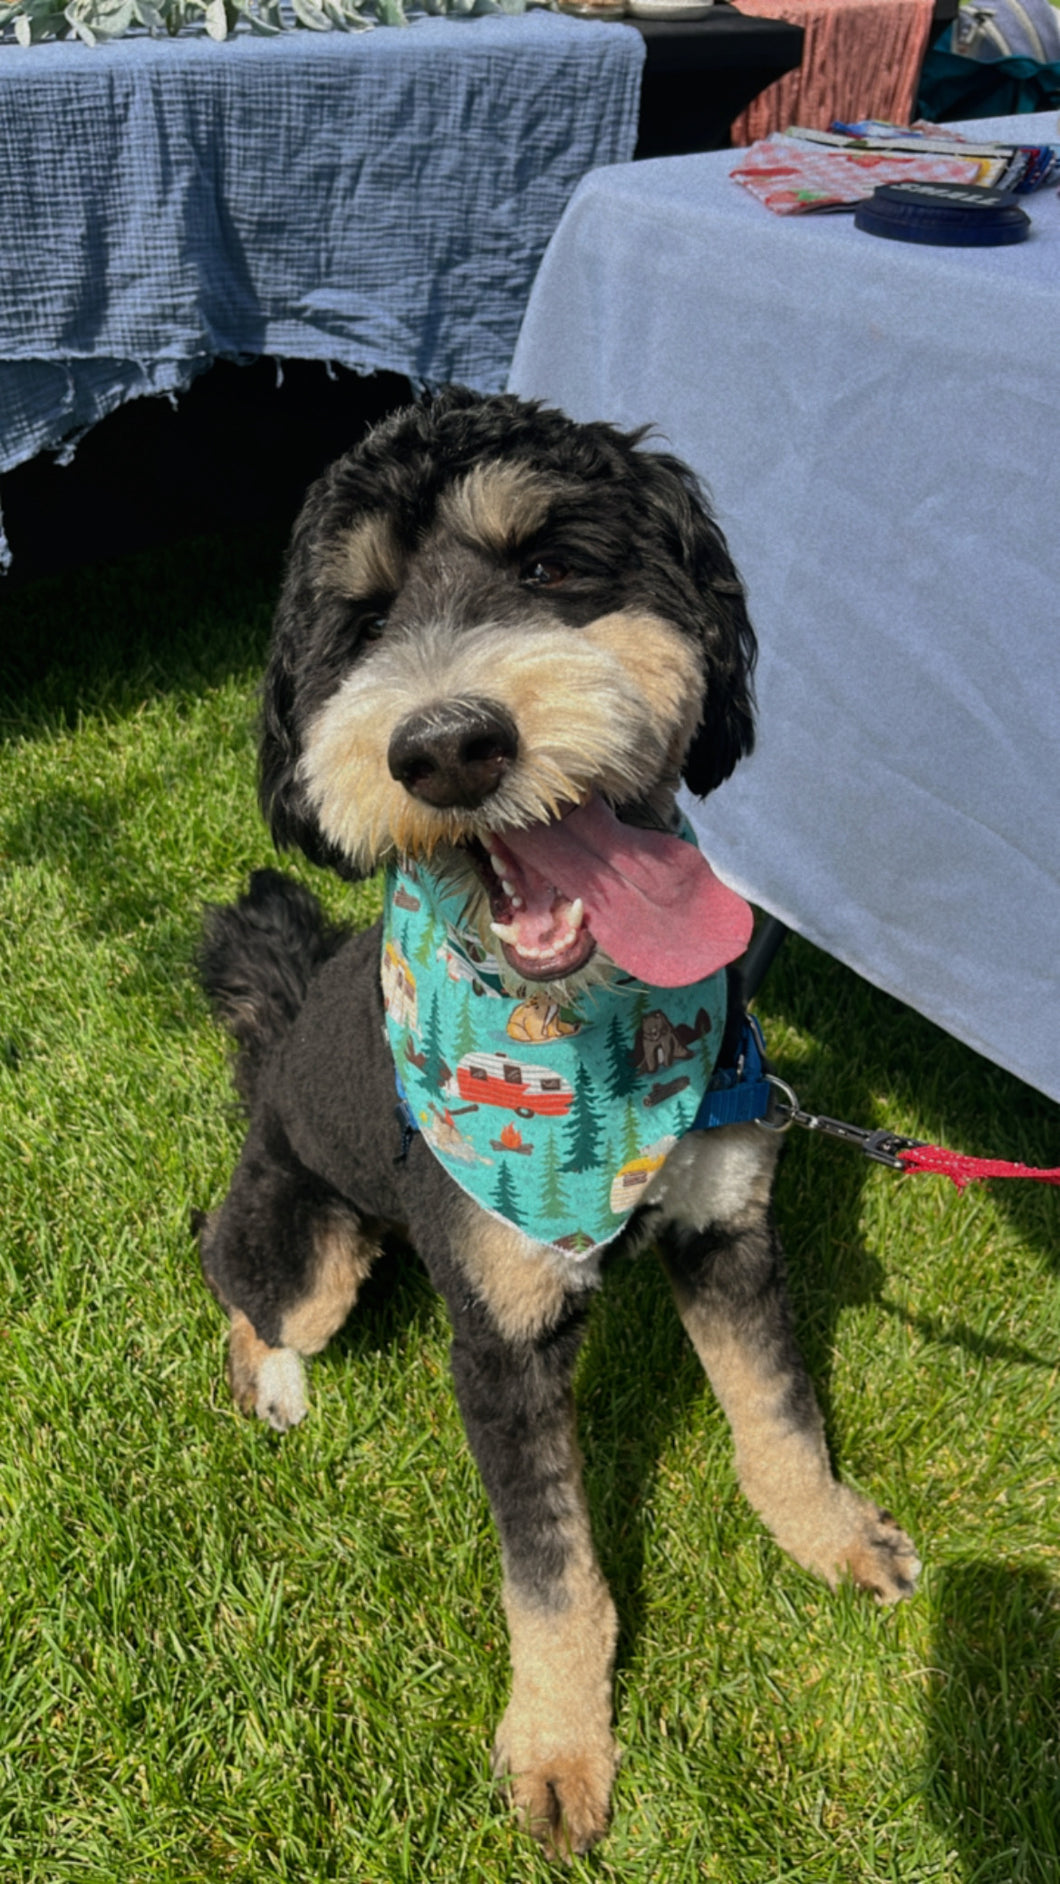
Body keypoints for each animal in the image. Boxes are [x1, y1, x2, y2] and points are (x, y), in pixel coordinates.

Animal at [196, 382, 922, 1853]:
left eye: (550, 568)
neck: (587, 1030)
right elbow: (550, 1572)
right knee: (238, 1286)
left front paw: (829, 1534)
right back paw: (276, 1381)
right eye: (360, 624)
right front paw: (557, 1743)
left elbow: (779, 1411)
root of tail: (278, 1039)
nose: (447, 746)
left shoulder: (726, 1229)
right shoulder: (500, 1331)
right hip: (303, 1239)